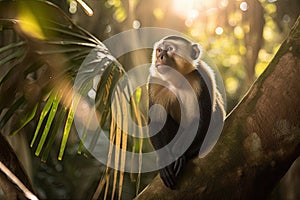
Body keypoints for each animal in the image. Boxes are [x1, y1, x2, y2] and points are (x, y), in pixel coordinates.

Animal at [148, 35, 225, 190]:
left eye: (169, 49)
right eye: (159, 50)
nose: (160, 56)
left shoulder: (202, 76)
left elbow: (204, 119)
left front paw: (180, 155)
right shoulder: (155, 82)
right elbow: (157, 122)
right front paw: (164, 161)